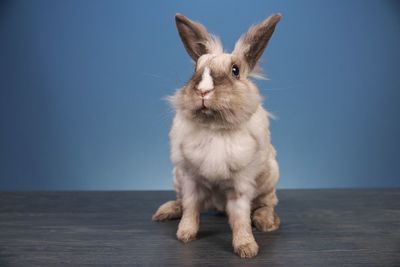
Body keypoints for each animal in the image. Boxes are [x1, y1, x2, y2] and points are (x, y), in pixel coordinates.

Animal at [152, 13, 282, 260]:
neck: (215, 127)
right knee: (181, 202)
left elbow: (240, 218)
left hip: (269, 179)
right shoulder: (190, 178)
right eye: (195, 69)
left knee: (267, 204)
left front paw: (247, 248)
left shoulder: (241, 184)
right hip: (177, 178)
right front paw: (184, 234)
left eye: (235, 70)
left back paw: (266, 222)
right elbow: (191, 208)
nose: (203, 91)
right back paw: (164, 212)